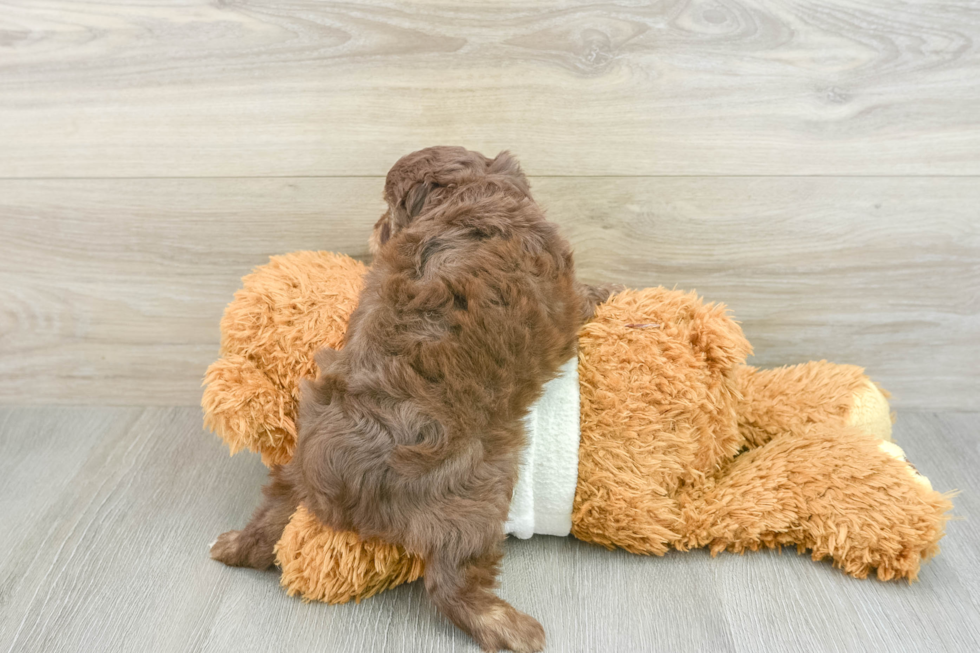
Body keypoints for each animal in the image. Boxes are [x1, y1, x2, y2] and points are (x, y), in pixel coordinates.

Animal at [211, 148, 600, 652]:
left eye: (388, 211)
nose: (376, 227)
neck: (469, 196)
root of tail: (335, 476)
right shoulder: (567, 292)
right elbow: (585, 296)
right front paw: (605, 291)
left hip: (293, 470)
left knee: (269, 519)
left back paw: (233, 547)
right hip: (473, 498)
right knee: (451, 584)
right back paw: (514, 629)